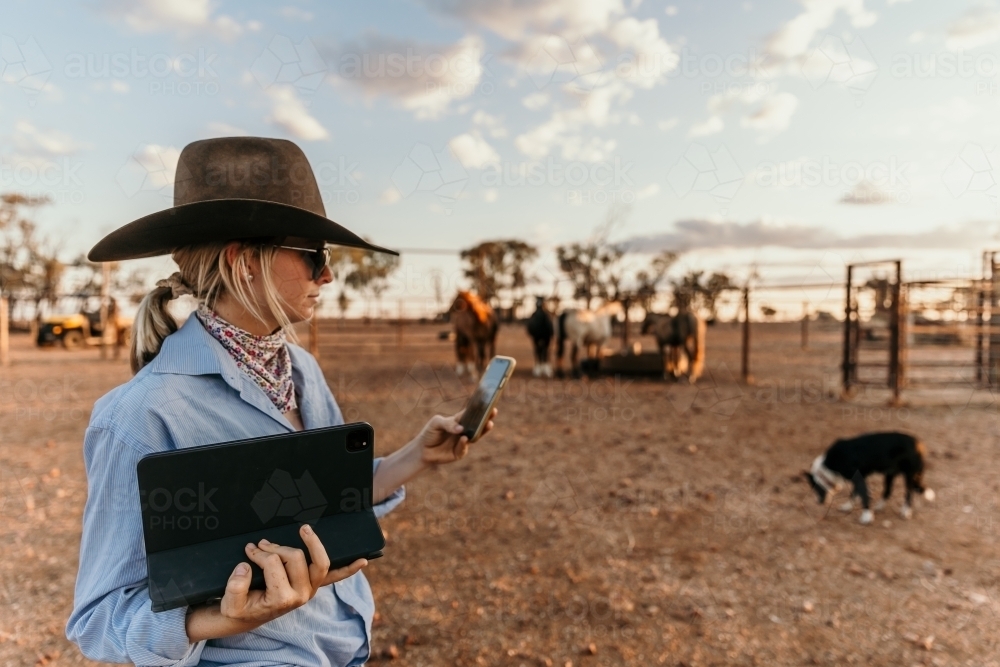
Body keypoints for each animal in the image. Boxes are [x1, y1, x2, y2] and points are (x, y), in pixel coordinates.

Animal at [800, 434, 932, 528]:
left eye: (815, 488)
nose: (818, 502)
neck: (829, 465)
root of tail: (919, 444)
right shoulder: (858, 479)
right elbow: (854, 494)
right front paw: (848, 506)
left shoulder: (859, 479)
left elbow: (863, 497)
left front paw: (866, 517)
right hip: (889, 473)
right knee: (888, 490)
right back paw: (879, 506)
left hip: (909, 476)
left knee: (909, 493)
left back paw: (905, 511)